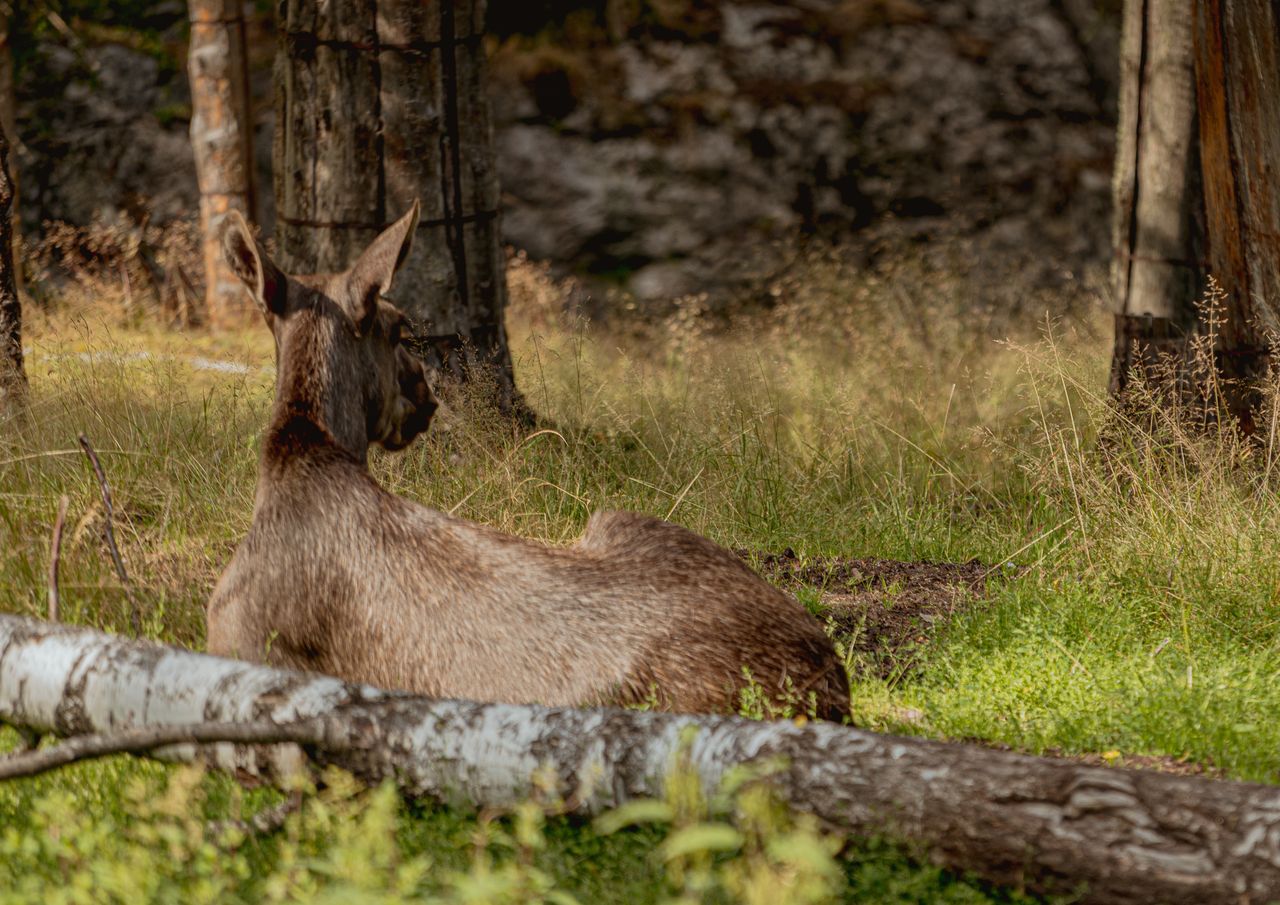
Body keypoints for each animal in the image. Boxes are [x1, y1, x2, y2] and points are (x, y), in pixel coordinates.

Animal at [207, 204, 849, 721]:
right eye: (398, 330)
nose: (428, 397)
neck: (302, 447)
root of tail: (831, 681)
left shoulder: (233, 642)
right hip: (624, 520)